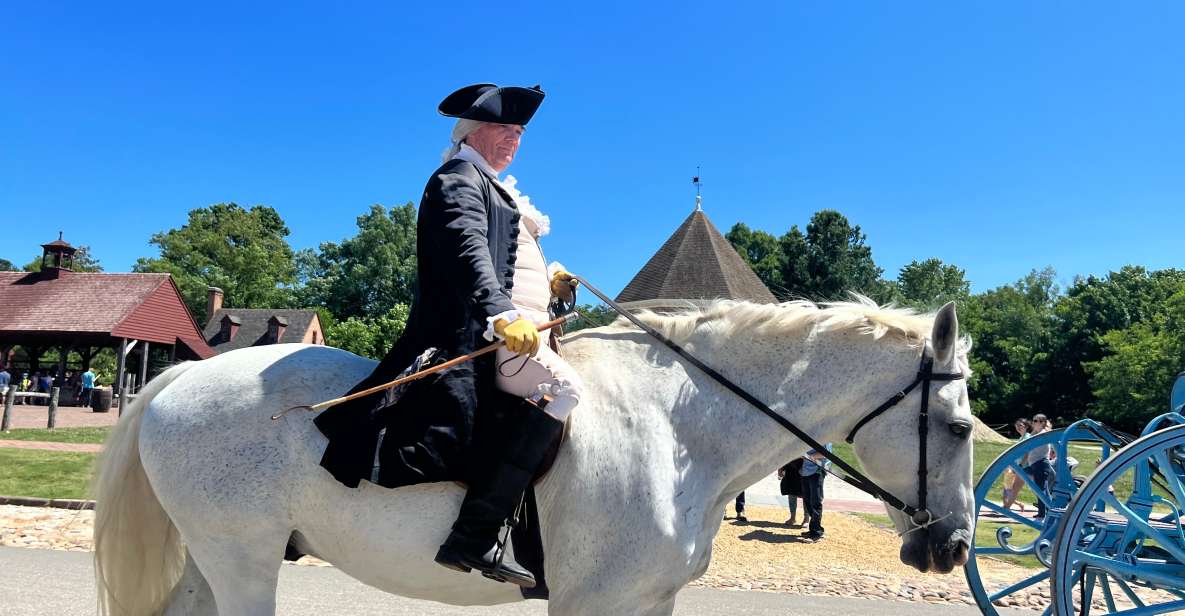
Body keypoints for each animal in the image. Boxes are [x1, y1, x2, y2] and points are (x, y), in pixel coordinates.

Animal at [97, 299, 976, 616]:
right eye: (962, 428)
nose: (954, 547)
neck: (682, 429)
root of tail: (182, 375)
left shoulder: (645, 604)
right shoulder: (591, 604)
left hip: (216, 559)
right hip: (242, 562)